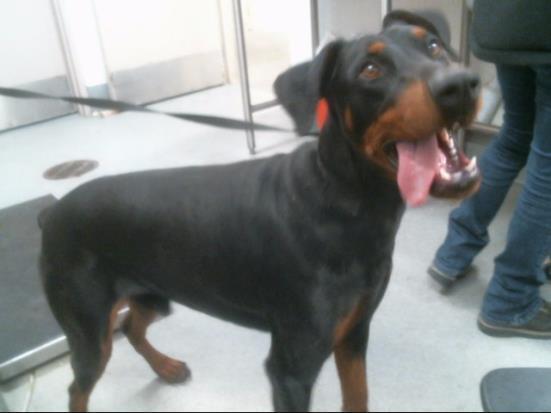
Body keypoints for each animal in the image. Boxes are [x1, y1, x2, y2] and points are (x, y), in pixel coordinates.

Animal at [40, 10, 481, 412]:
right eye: (370, 70)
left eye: (434, 45)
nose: (461, 84)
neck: (346, 200)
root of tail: (52, 216)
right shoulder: (291, 368)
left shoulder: (354, 334)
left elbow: (358, 397)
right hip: (90, 329)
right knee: (78, 387)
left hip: (152, 295)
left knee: (132, 326)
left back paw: (167, 367)